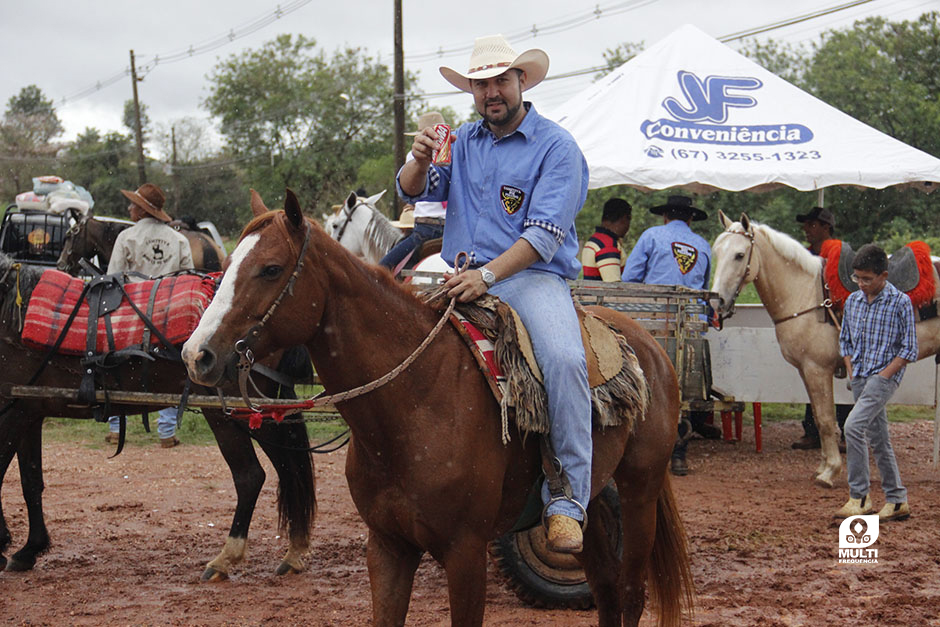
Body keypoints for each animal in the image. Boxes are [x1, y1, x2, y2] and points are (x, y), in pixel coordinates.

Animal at [182, 191, 692, 627]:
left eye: (270, 269)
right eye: (226, 264)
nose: (196, 354)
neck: (415, 401)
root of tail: (648, 345)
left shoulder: (464, 552)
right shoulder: (387, 547)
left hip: (640, 490)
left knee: (630, 593)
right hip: (594, 500)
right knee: (605, 589)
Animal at [712, 213, 940, 488]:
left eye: (739, 255)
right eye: (717, 251)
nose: (716, 301)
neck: (806, 295)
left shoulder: (817, 369)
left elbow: (826, 419)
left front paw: (830, 471)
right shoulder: (806, 371)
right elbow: (819, 420)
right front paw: (822, 467)